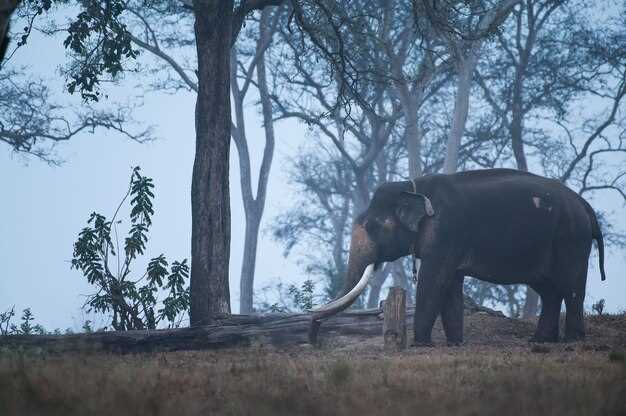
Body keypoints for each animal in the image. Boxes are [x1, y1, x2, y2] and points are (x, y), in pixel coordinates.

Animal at [308, 167, 604, 346]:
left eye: (371, 227)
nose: (314, 332)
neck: (412, 187)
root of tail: (586, 206)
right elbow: (450, 284)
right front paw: (454, 344)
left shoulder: (446, 232)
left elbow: (433, 280)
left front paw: (420, 345)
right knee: (549, 290)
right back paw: (539, 341)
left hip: (570, 239)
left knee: (571, 287)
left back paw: (572, 341)